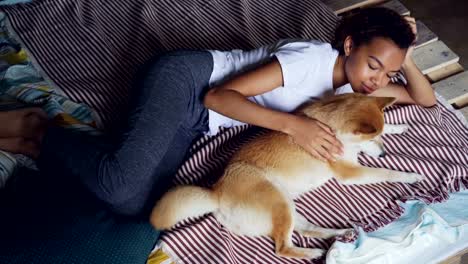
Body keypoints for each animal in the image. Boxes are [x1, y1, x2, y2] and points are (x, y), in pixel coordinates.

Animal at [151, 93, 424, 260]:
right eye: (370, 139)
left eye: (377, 137)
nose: (384, 153)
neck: (331, 126)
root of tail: (216, 192)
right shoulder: (350, 172)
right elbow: (387, 173)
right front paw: (410, 175)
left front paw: (397, 127)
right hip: (278, 202)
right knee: (282, 247)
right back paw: (313, 254)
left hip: (286, 205)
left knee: (306, 230)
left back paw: (338, 233)